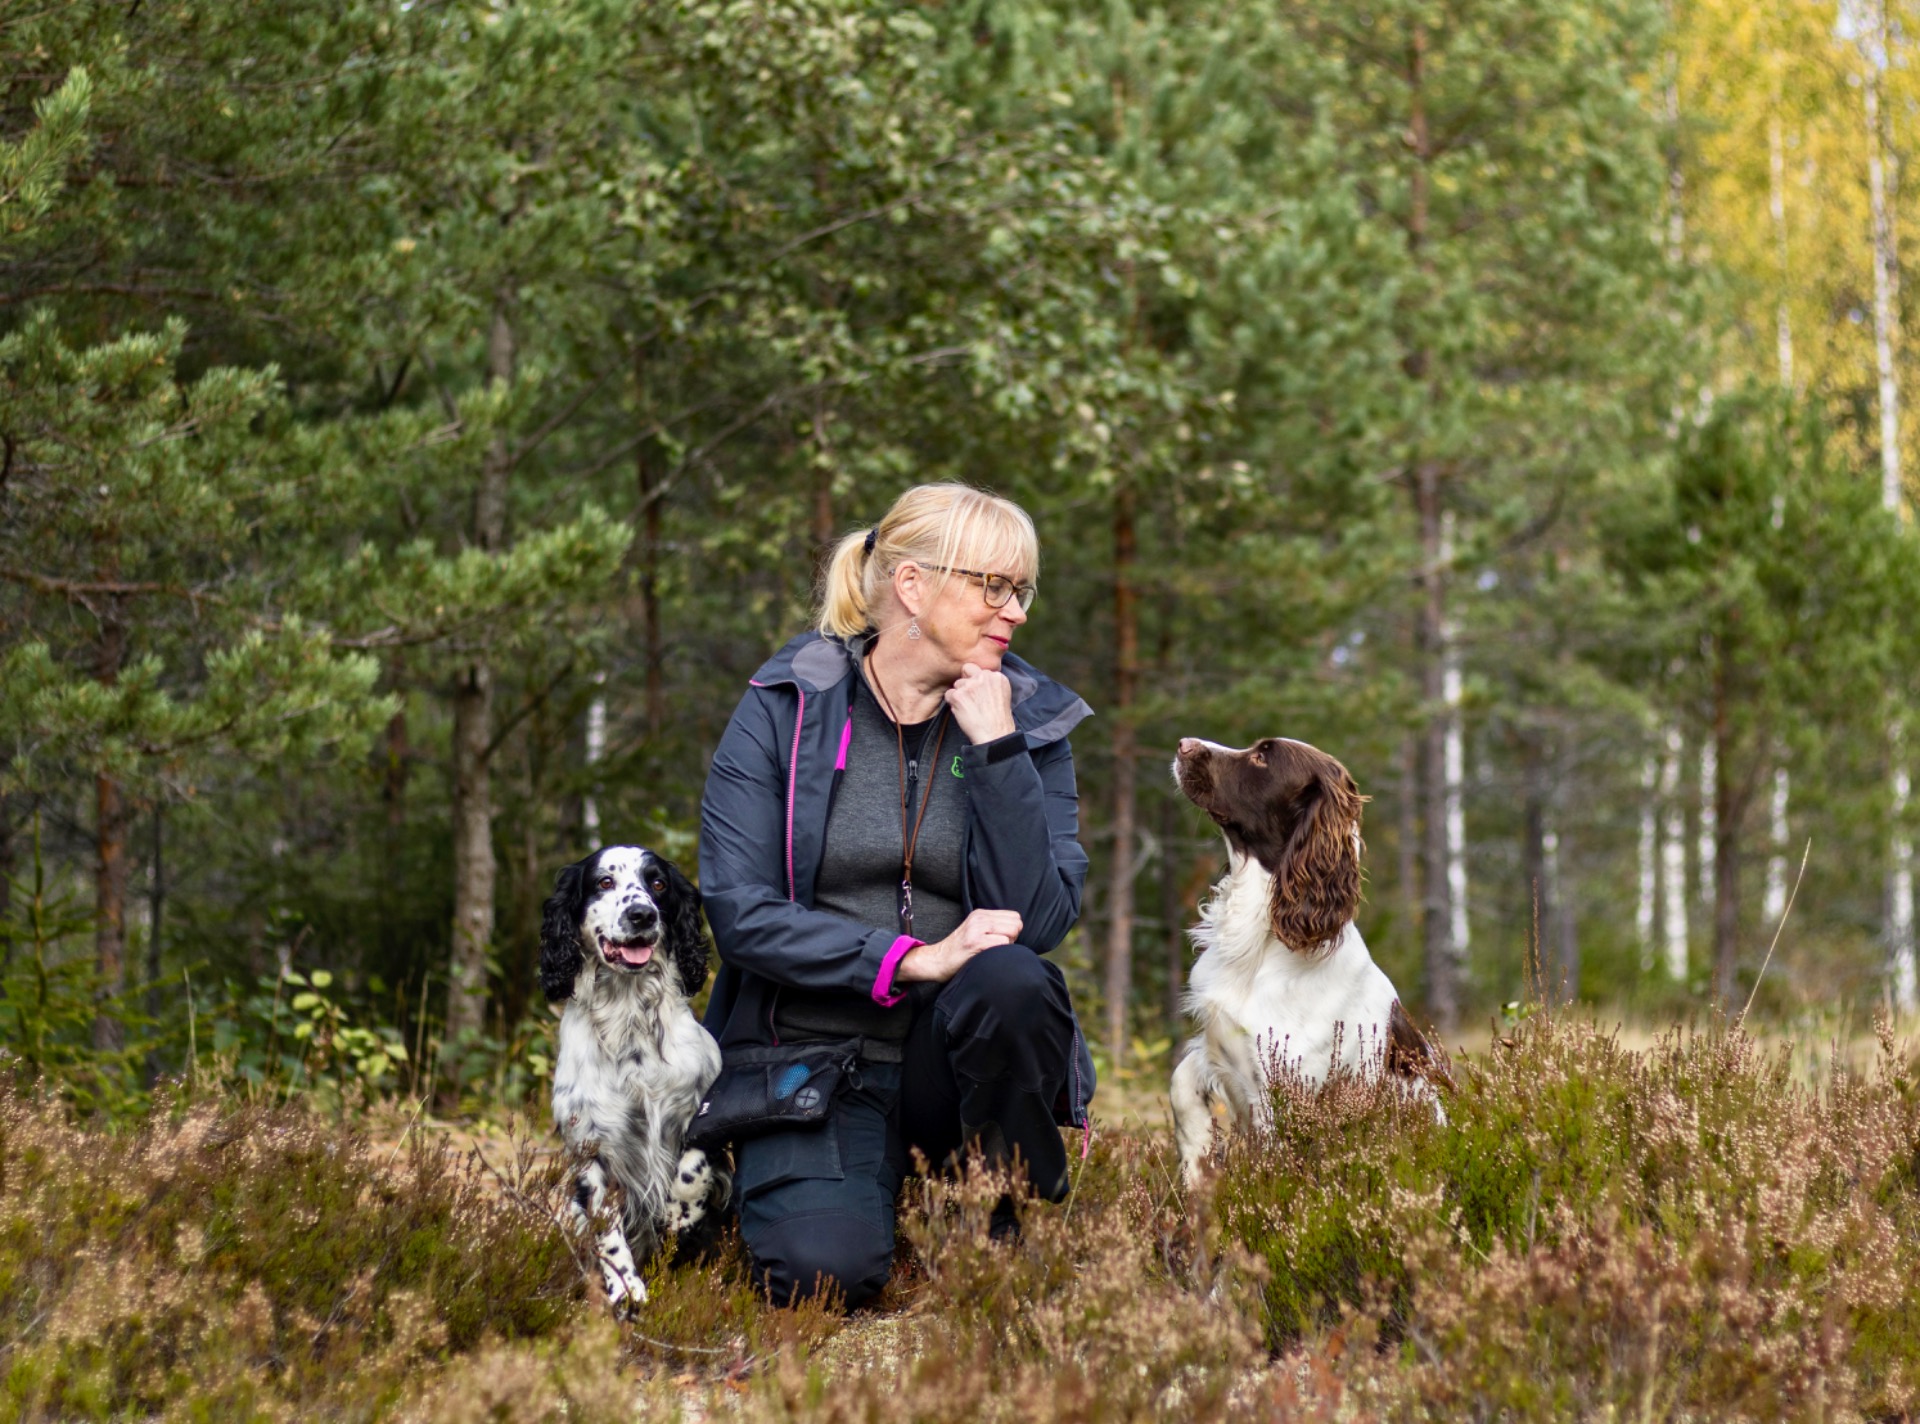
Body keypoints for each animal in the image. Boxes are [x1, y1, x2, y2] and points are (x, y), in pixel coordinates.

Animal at [540, 844, 726, 1313]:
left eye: (657, 883)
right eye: (604, 881)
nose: (642, 914)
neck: (629, 1021)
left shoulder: (705, 1106)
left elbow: (690, 1168)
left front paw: (678, 1214)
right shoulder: (589, 1146)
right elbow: (607, 1227)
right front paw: (625, 1285)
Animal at [1168, 737, 1448, 1188]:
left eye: (1261, 757)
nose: (1184, 744)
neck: (1264, 938)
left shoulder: (1283, 1094)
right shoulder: (1220, 1048)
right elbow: (1180, 1081)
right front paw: (1197, 1162)